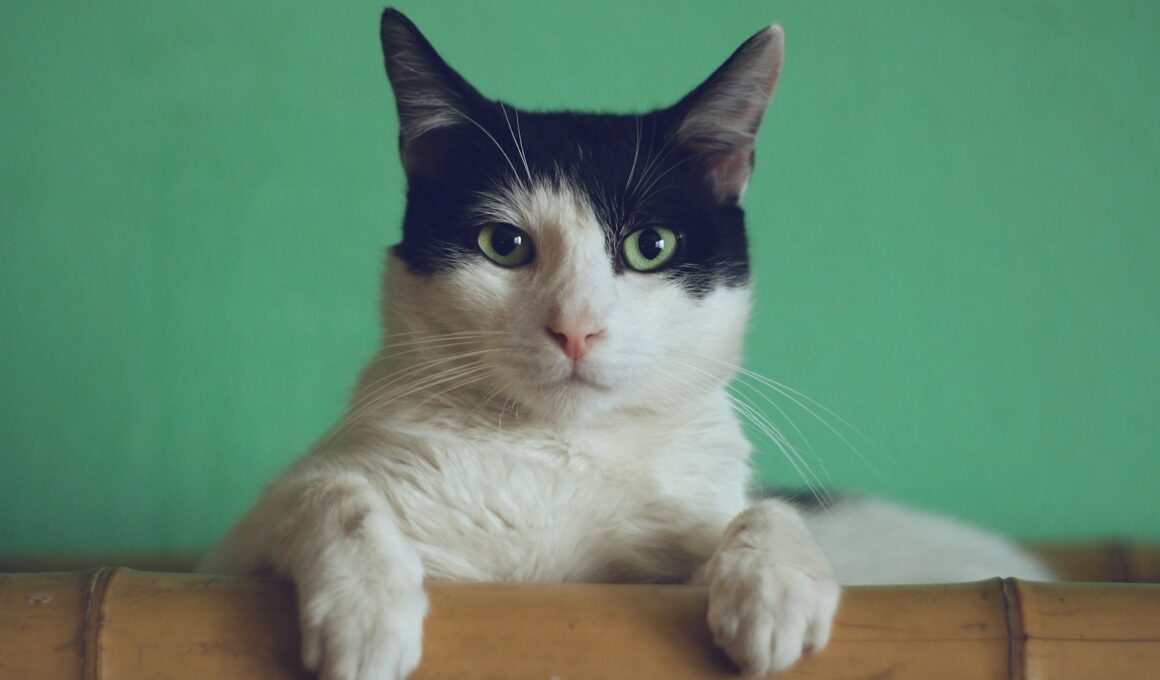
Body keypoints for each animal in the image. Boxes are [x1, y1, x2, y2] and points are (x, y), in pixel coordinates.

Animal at [201, 10, 1053, 677]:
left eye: (651, 246)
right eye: (503, 244)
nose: (576, 326)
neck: (557, 458)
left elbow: (762, 513)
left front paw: (773, 587)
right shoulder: (231, 556)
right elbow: (331, 493)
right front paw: (368, 614)